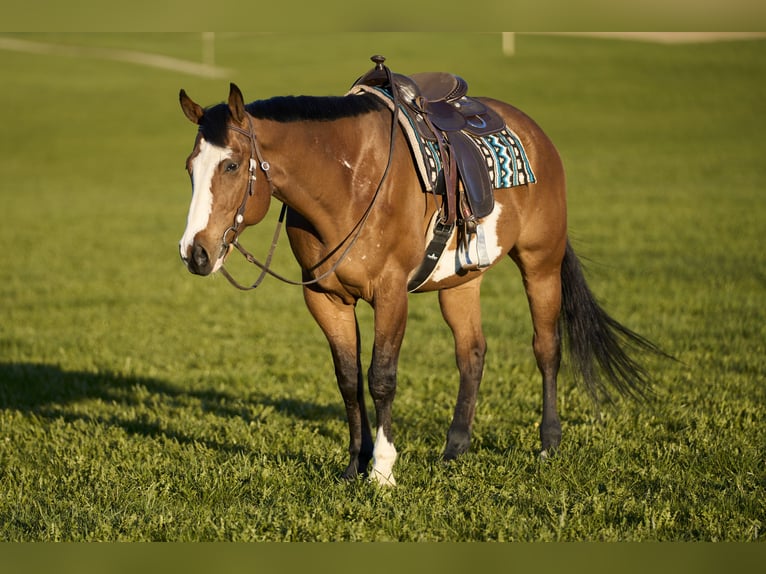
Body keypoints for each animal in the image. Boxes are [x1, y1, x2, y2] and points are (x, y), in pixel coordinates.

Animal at [177, 60, 664, 486]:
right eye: (189, 168)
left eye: (231, 165)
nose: (195, 252)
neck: (346, 182)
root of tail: (535, 133)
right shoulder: (325, 298)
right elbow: (348, 380)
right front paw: (354, 464)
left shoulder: (391, 293)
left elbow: (381, 378)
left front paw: (382, 470)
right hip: (462, 282)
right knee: (472, 352)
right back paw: (455, 448)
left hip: (540, 263)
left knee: (547, 348)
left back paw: (548, 443)